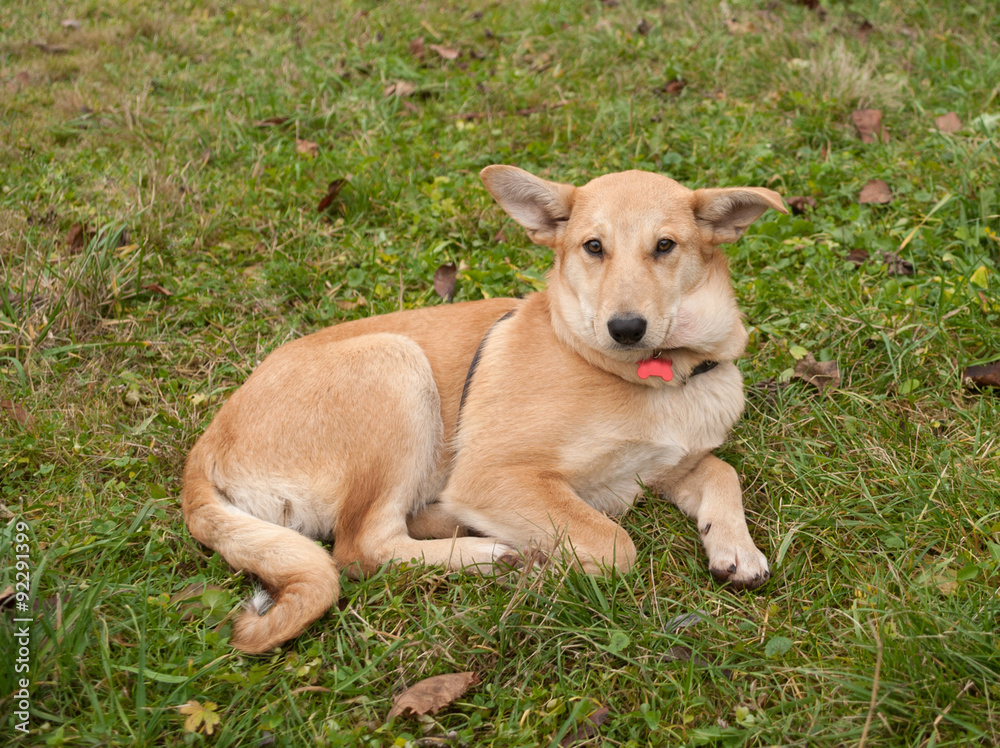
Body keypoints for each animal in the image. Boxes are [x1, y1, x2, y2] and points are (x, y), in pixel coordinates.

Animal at [182, 167, 788, 652]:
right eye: (593, 247)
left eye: (665, 246)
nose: (625, 328)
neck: (661, 376)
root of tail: (204, 451)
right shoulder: (494, 473)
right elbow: (615, 544)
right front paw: (553, 562)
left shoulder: (666, 467)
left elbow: (721, 471)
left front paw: (736, 547)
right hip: (396, 365)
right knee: (361, 547)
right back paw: (494, 553)